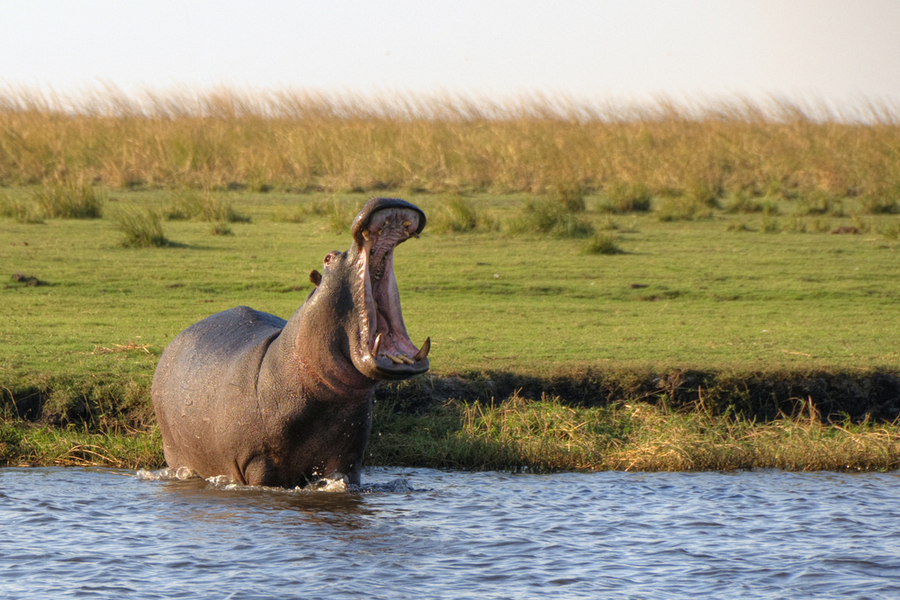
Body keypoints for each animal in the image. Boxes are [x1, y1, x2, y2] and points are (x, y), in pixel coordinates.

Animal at [151, 197, 429, 488]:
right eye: (328, 257)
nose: (387, 199)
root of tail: (174, 342)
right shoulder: (257, 460)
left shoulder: (348, 458)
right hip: (178, 454)